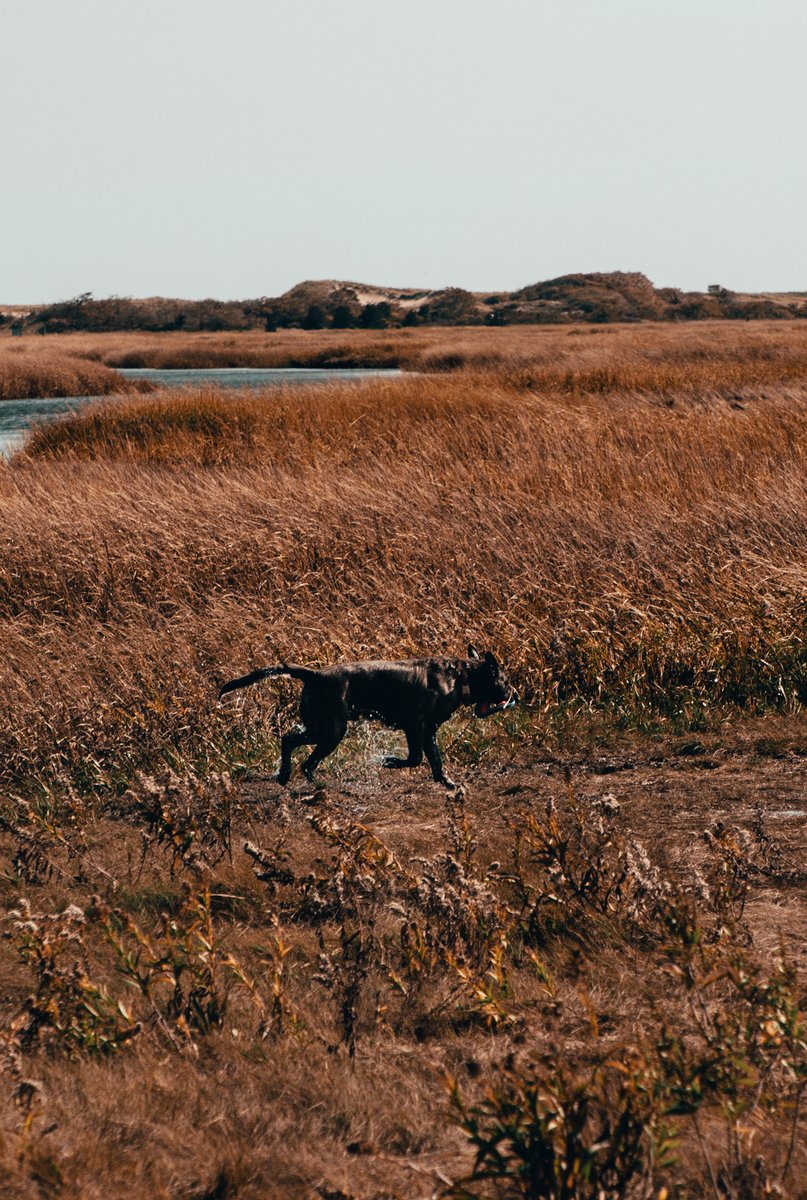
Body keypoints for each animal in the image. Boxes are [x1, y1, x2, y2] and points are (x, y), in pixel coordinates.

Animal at [217, 648, 513, 787]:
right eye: (505, 681)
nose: (515, 694)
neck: (461, 678)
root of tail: (316, 674)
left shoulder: (427, 730)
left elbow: (435, 762)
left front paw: (447, 783)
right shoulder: (416, 725)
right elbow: (417, 758)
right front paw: (388, 761)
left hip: (324, 728)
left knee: (295, 746)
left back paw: (289, 777)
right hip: (332, 729)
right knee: (296, 748)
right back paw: (304, 779)